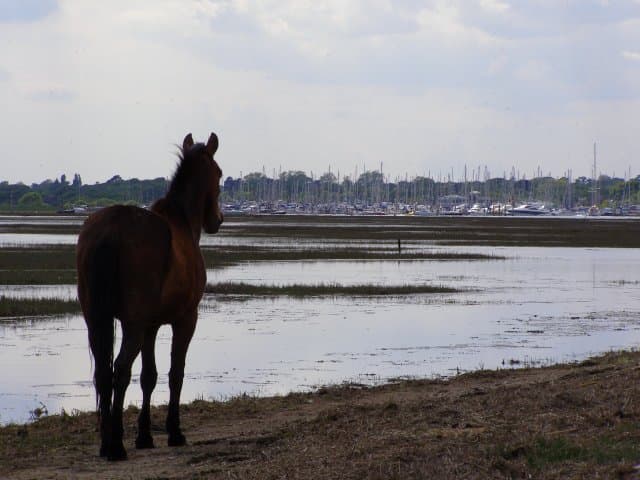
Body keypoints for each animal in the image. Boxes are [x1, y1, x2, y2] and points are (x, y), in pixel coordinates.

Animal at [76, 132, 223, 461]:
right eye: (219, 174)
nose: (218, 219)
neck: (183, 223)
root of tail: (110, 229)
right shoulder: (185, 320)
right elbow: (175, 373)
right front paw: (174, 432)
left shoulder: (151, 326)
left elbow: (148, 376)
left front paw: (144, 435)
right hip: (132, 325)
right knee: (119, 369)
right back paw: (116, 446)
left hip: (97, 320)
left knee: (103, 373)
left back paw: (106, 442)